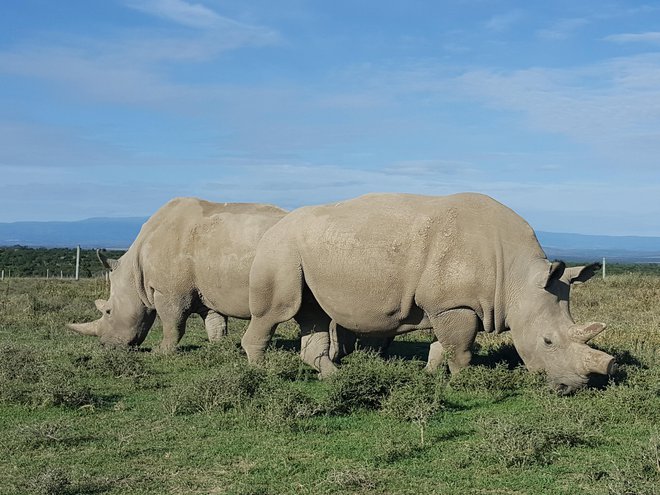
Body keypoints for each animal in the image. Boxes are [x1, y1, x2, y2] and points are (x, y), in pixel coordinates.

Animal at [68, 198, 288, 352]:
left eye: (108, 311)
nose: (106, 346)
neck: (135, 273)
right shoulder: (207, 290)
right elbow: (215, 323)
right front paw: (218, 348)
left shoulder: (170, 292)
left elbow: (172, 323)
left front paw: (161, 352)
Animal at [242, 192, 620, 394]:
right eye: (547, 342)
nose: (571, 388)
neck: (518, 279)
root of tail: (277, 223)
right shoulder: (455, 304)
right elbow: (461, 349)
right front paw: (465, 382)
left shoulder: (447, 305)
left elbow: (442, 347)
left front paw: (429, 377)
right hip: (281, 247)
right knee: (276, 311)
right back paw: (263, 375)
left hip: (305, 251)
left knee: (314, 313)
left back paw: (335, 378)